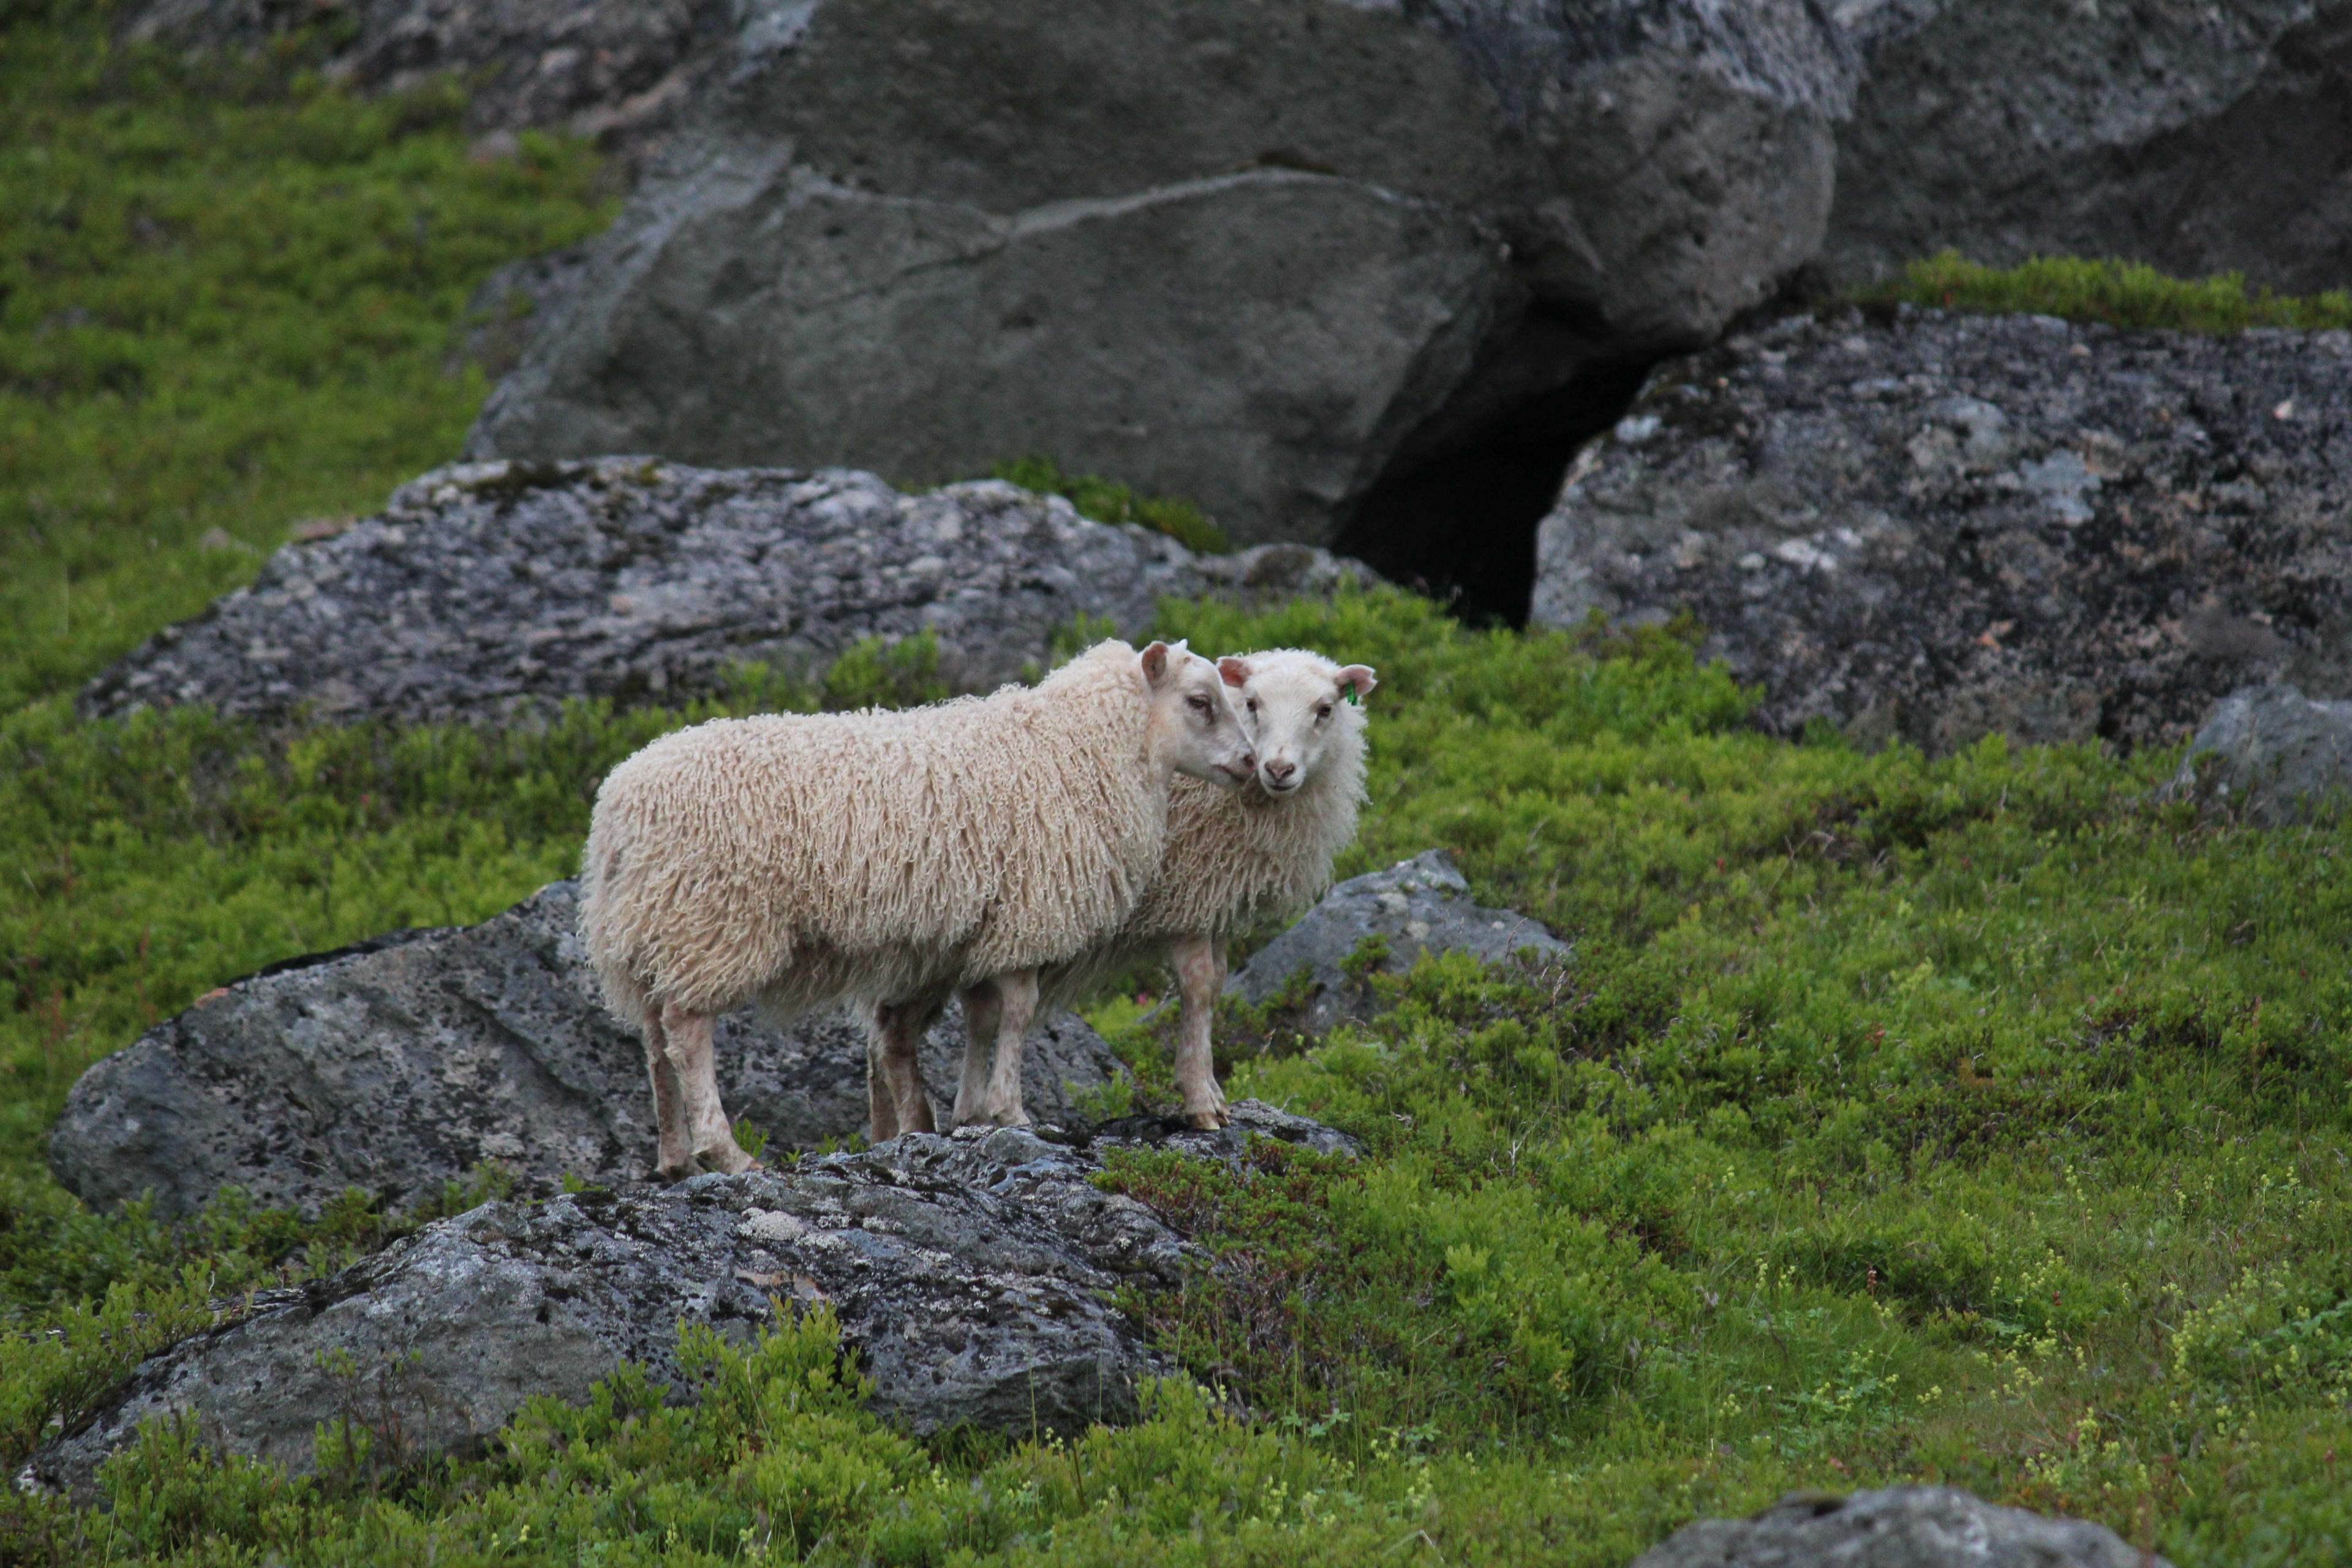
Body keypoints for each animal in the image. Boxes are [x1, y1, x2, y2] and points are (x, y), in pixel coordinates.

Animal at [578, 639, 1261, 1175]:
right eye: (1201, 701)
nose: (1253, 763)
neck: (1077, 749)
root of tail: (617, 803)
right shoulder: (1028, 915)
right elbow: (1018, 1013)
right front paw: (1013, 1112)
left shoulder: (982, 930)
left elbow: (983, 1017)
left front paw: (970, 1113)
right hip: (714, 920)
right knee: (688, 1033)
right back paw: (725, 1153)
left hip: (655, 925)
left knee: (654, 1037)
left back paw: (673, 1157)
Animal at [945, 649, 1373, 1128]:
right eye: (1253, 704)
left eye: (1325, 710)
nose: (1278, 769)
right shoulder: (1188, 902)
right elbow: (1199, 989)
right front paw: (1199, 1099)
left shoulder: (1214, 903)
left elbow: (1216, 986)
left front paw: (1213, 1092)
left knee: (974, 1016)